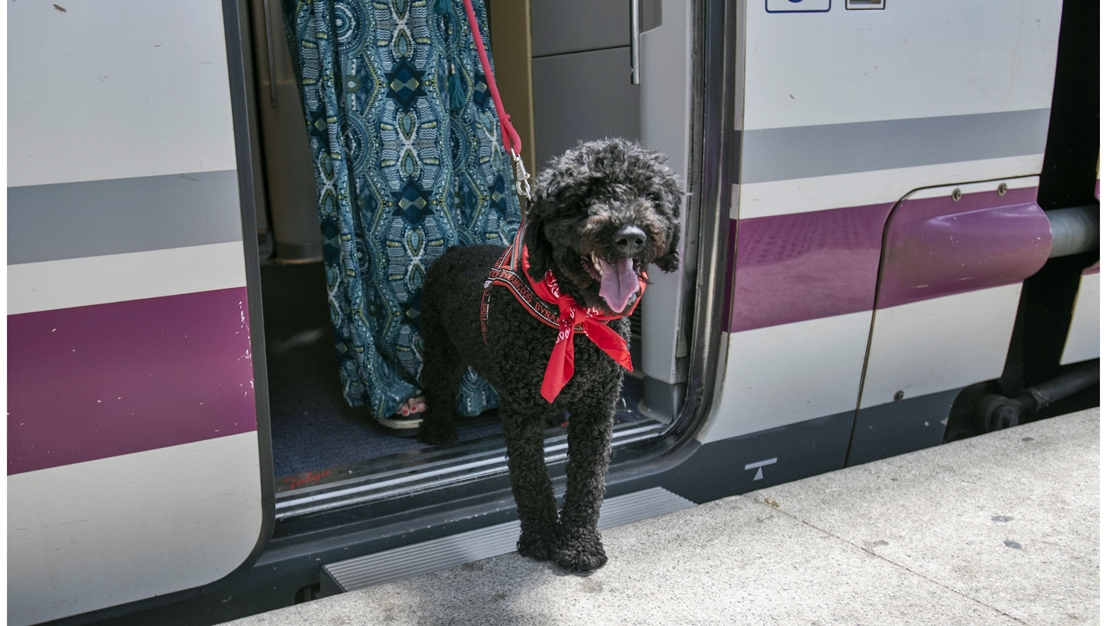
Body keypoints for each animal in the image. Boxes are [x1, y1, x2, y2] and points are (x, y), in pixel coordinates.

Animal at [417, 139, 679, 568]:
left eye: (649, 195)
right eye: (584, 199)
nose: (630, 235)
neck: (571, 315)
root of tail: (452, 251)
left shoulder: (597, 407)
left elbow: (588, 479)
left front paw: (578, 544)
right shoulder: (520, 411)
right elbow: (531, 478)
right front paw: (540, 537)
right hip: (441, 346)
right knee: (438, 387)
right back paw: (436, 429)